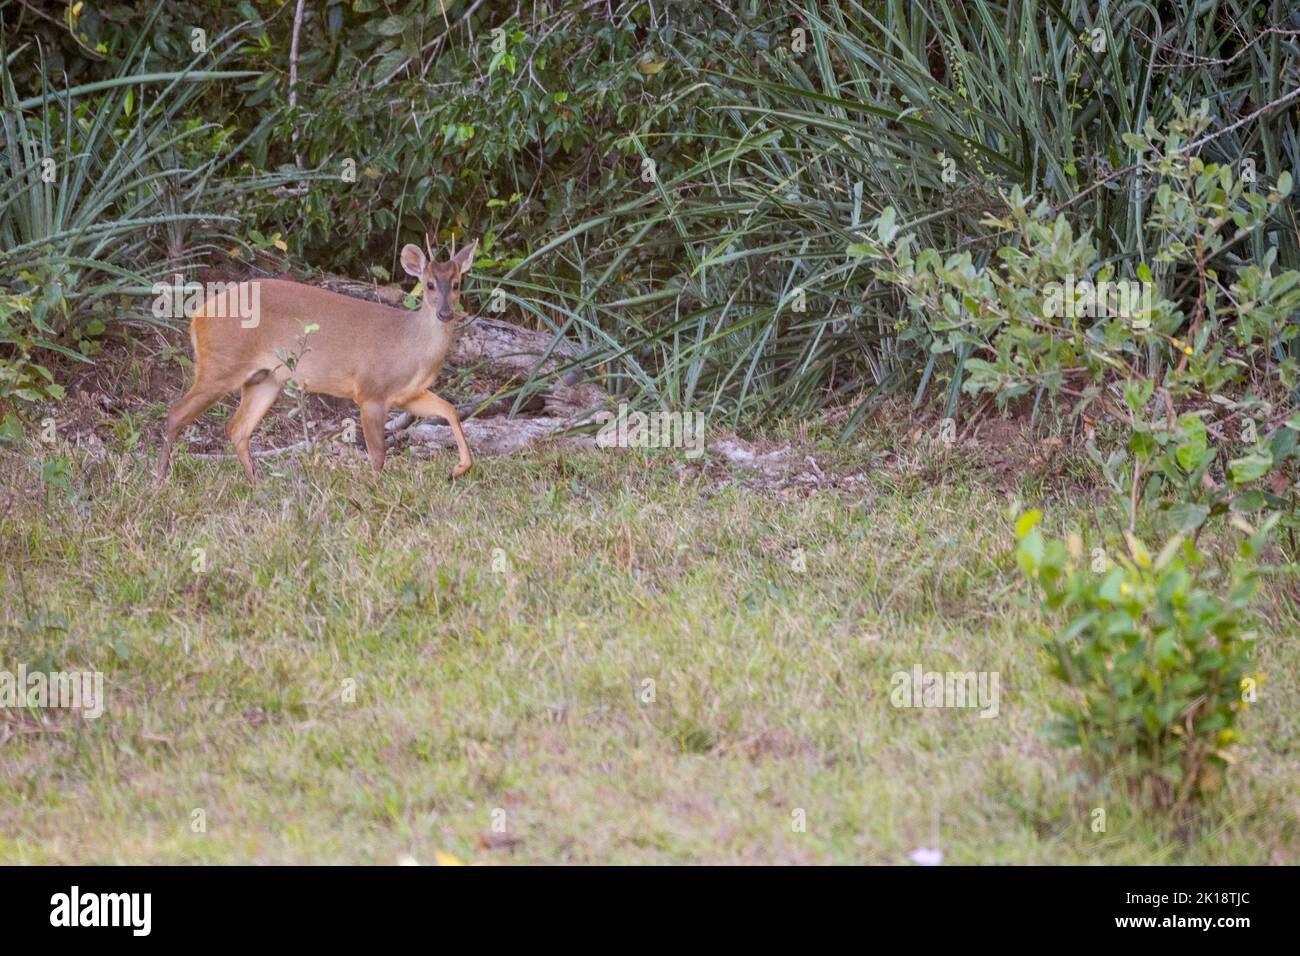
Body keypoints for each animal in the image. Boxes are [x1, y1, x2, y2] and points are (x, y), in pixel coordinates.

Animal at [153, 232, 478, 486]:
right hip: (222, 362)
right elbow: (378, 455)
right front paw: (375, 490)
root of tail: (198, 316)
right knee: (176, 414)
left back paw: (256, 484)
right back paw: (158, 482)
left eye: (457, 283)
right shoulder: (371, 390)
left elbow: (450, 410)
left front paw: (458, 468)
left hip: (265, 377)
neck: (411, 348)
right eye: (430, 284)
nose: (445, 313)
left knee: (237, 428)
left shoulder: (408, 395)